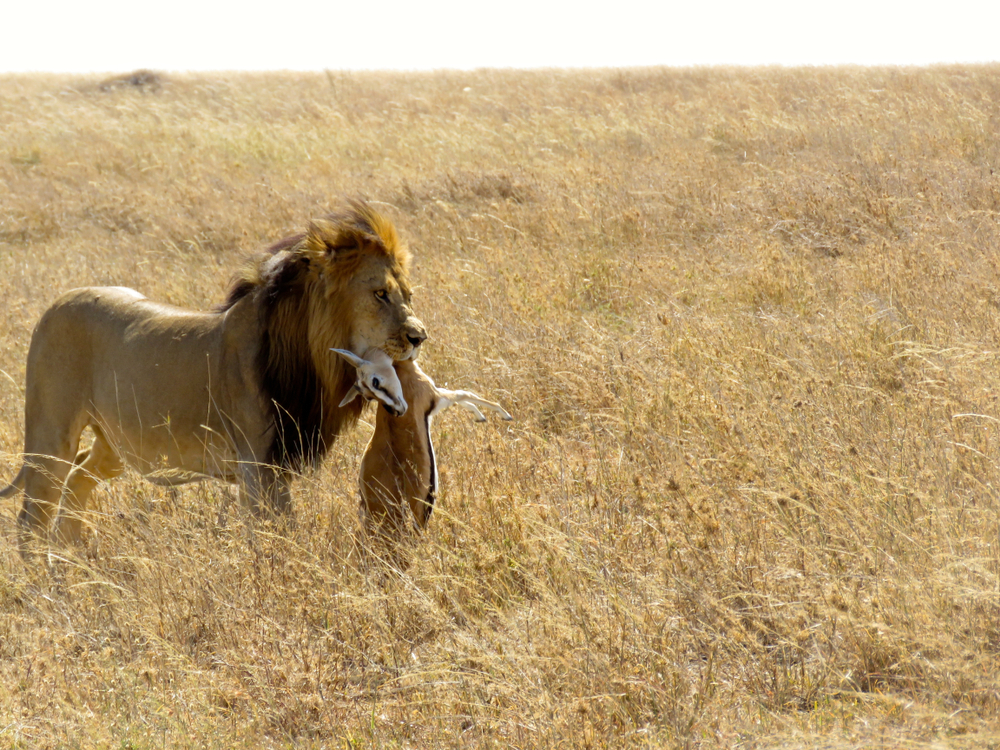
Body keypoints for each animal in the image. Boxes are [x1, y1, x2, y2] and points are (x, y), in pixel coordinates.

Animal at [0, 201, 426, 552]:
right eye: (380, 294)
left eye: (407, 294)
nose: (419, 336)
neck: (308, 359)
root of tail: (56, 302)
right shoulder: (258, 467)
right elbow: (276, 533)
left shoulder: (277, 465)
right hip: (50, 436)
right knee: (32, 518)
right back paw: (46, 586)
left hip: (114, 444)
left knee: (77, 481)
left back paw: (69, 561)